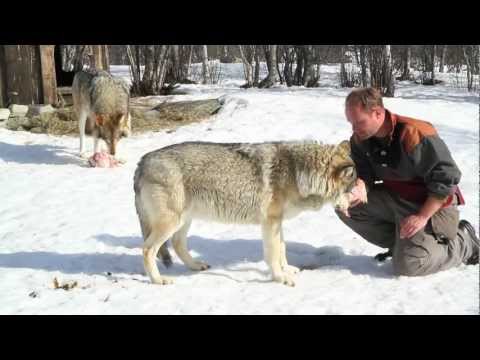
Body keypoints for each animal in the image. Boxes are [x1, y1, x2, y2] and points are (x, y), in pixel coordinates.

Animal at [133, 141, 366, 286]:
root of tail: (142, 161)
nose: (360, 203)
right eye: (352, 188)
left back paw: (196, 266)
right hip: (171, 222)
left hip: (184, 220)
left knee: (177, 244)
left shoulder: (277, 222)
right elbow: (273, 253)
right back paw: (158, 280)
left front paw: (287, 269)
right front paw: (280, 278)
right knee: (147, 250)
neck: (297, 172)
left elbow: (282, 248)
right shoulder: (270, 222)